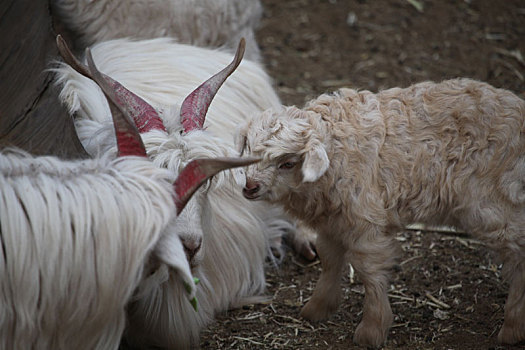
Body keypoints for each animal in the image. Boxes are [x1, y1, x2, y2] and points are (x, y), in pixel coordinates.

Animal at [238, 79, 524, 348]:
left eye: (287, 163)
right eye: (249, 151)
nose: (250, 187)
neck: (338, 152)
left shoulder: (366, 220)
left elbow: (369, 271)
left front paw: (372, 329)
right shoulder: (334, 222)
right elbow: (329, 260)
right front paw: (316, 308)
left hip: (493, 203)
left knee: (517, 250)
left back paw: (512, 327)